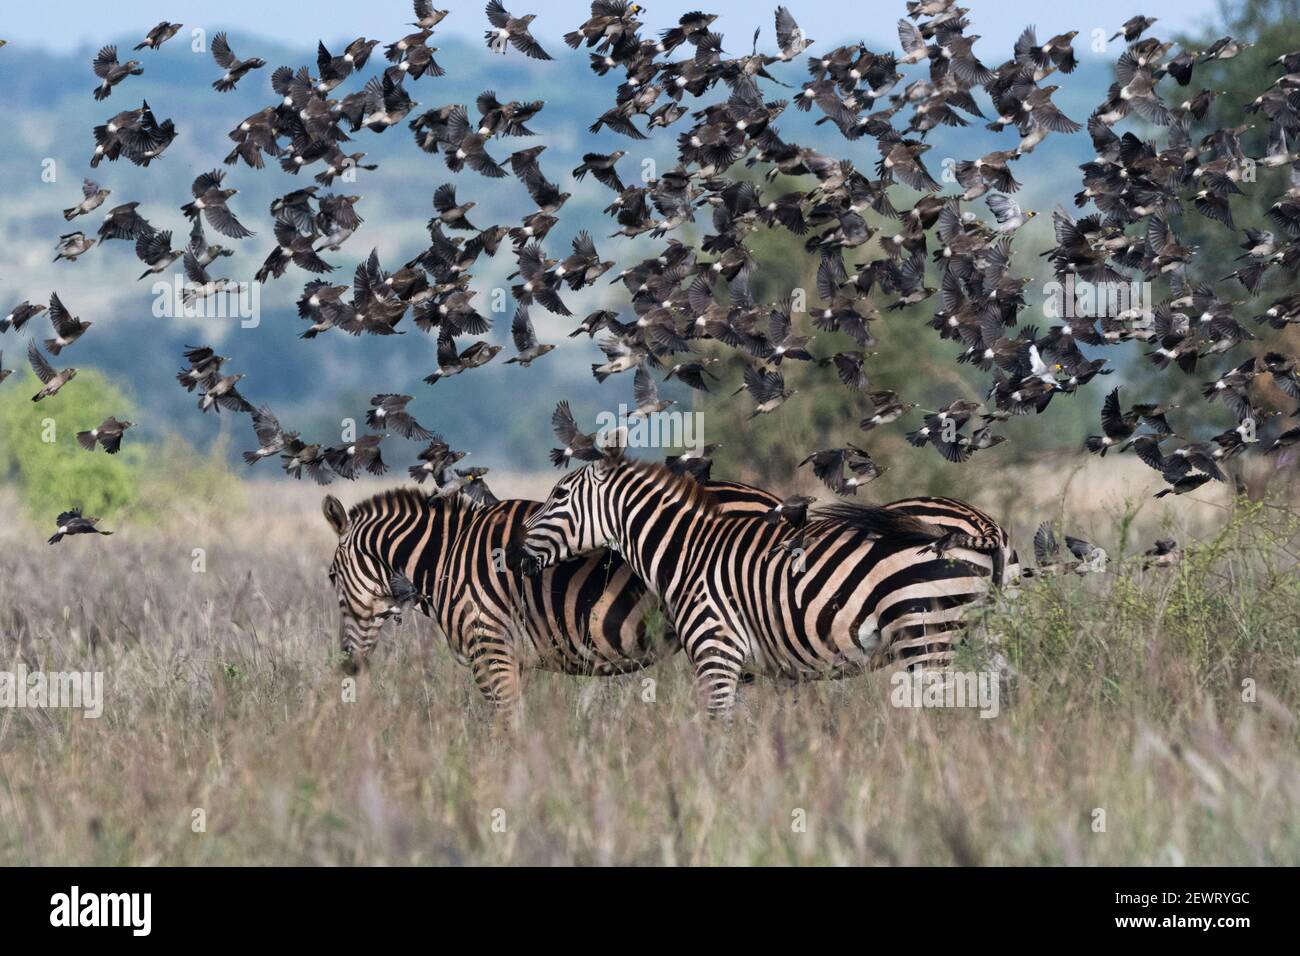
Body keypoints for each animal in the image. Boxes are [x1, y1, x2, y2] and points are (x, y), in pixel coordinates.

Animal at [517, 455, 1013, 717]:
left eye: (558, 497)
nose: (516, 553)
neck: (687, 550)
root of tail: (983, 525)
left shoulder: (716, 650)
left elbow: (718, 730)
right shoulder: (769, 667)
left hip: (927, 635)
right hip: (985, 635)